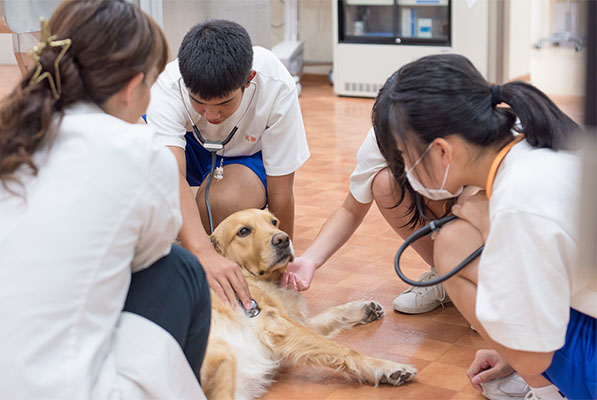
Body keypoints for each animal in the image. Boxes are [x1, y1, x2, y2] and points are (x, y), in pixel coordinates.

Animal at [200, 209, 414, 400]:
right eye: (243, 231)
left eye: (274, 222)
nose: (283, 239)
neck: (255, 278)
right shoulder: (276, 324)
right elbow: (344, 350)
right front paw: (386, 367)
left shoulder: (294, 322)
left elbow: (331, 314)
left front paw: (365, 308)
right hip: (223, 354)